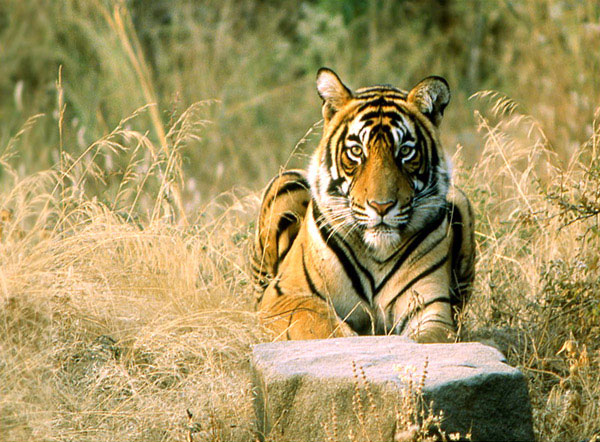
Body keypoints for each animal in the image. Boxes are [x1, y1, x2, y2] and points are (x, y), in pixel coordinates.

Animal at [251, 69, 476, 344]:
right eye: (357, 151)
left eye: (405, 151)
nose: (382, 206)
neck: (377, 254)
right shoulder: (282, 295)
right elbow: (317, 321)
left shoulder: (431, 309)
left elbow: (428, 340)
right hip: (286, 182)